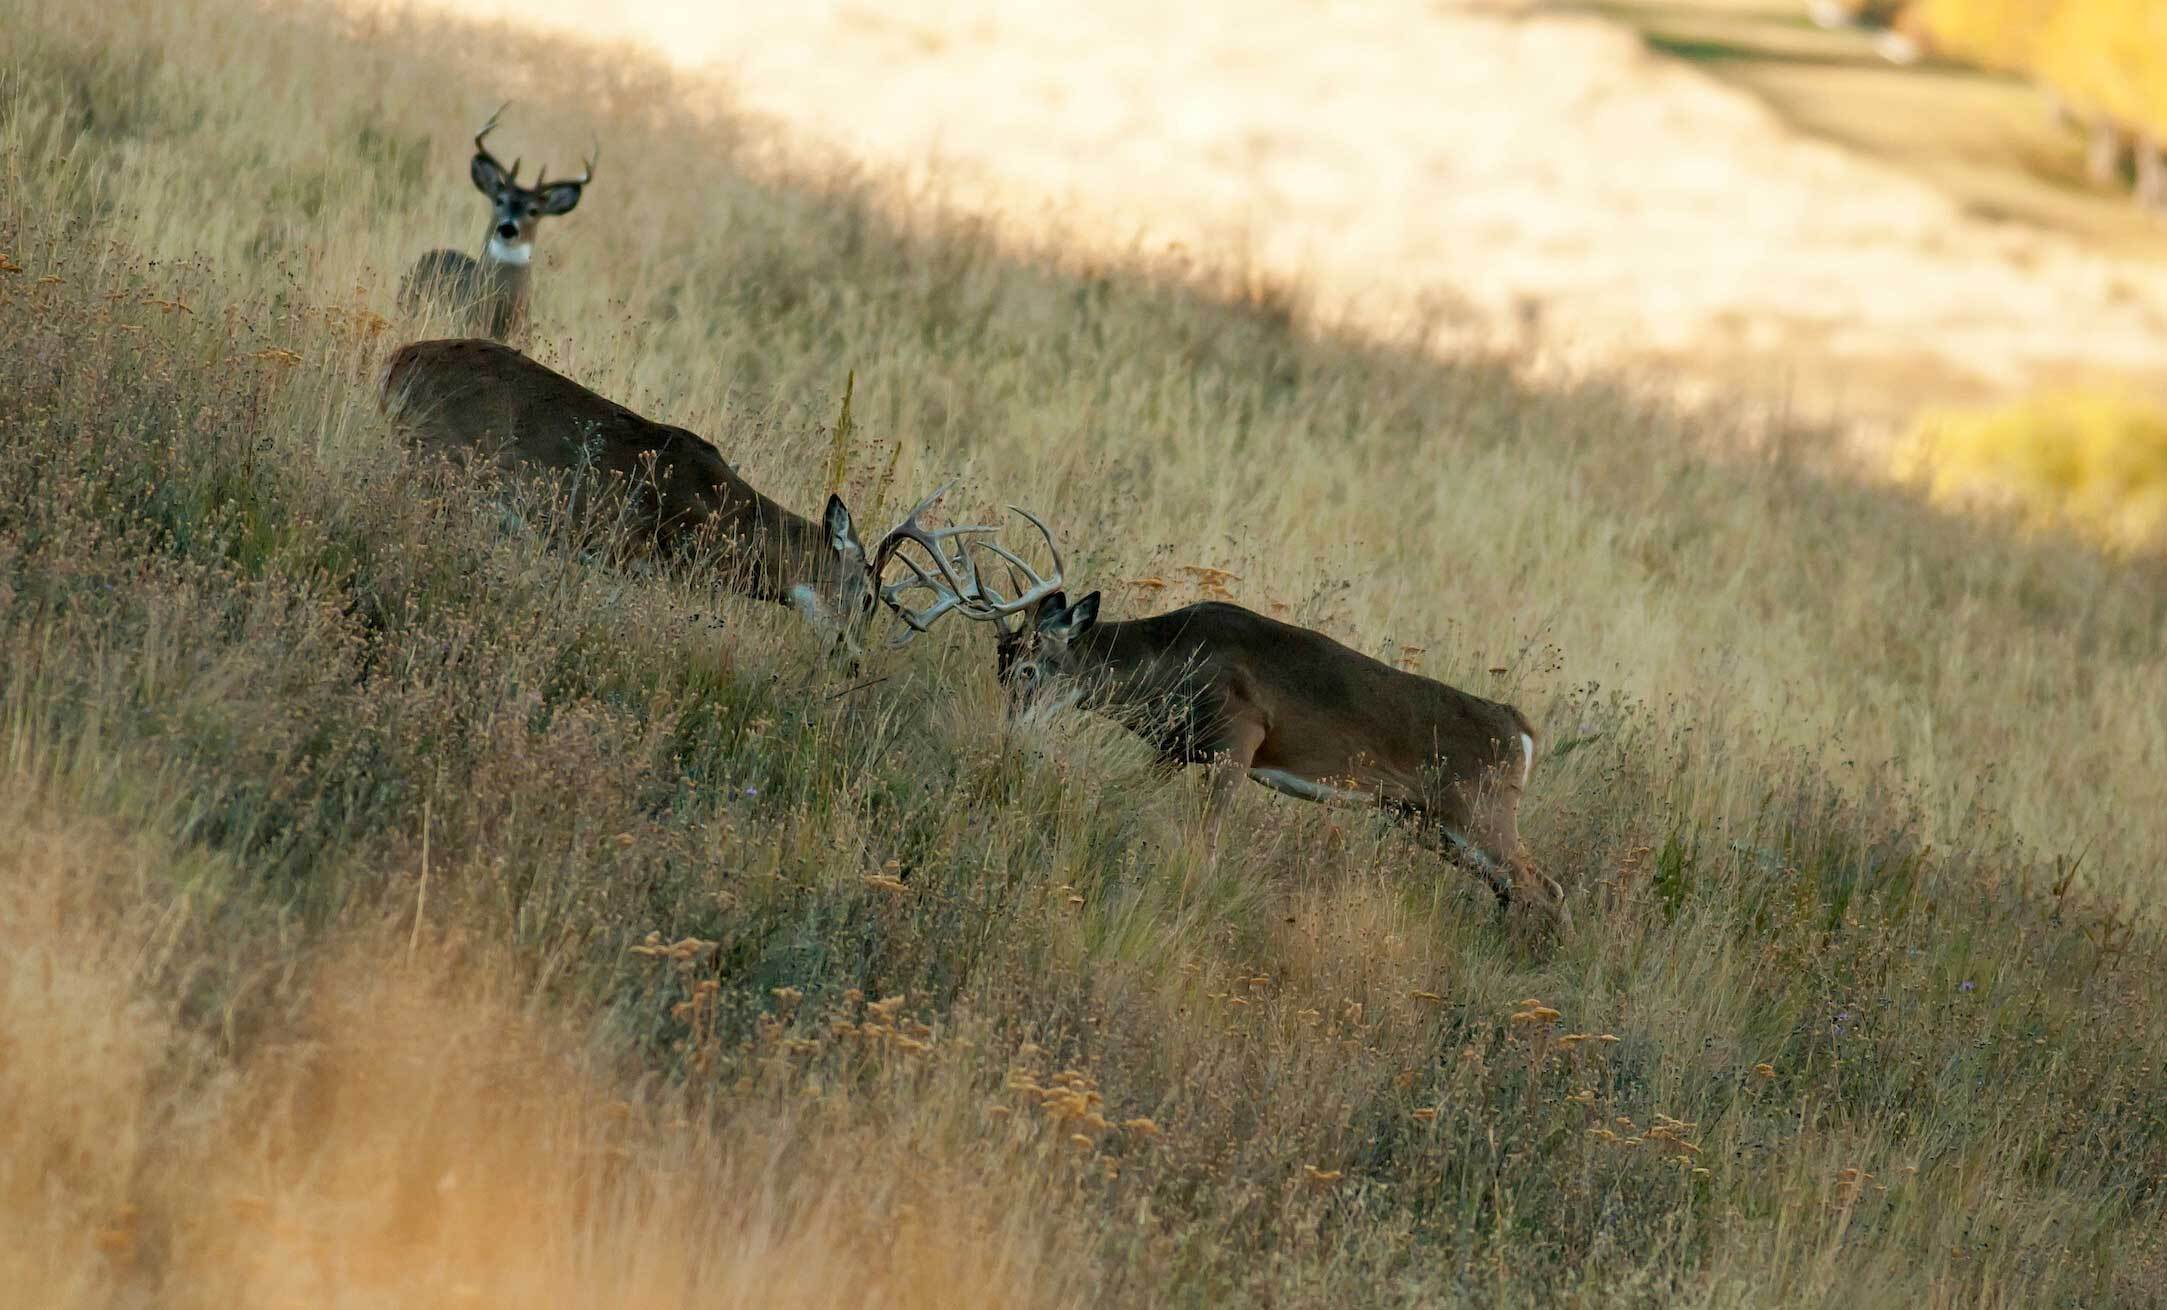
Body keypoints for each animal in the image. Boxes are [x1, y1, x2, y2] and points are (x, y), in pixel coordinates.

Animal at [379, 337, 949, 662]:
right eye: (869, 597)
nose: (852, 659)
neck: (729, 519)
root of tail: (399, 360)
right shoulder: (632, 557)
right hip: (437, 464)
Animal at [871, 500, 1568, 939]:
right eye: (1000, 667)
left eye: (1032, 670)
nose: (1011, 740)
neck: (1171, 660)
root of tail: (1521, 731)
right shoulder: (1174, 748)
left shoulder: (1240, 737)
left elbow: (1205, 848)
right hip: (1427, 821)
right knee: (1519, 889)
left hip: (1478, 808)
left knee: (1547, 890)